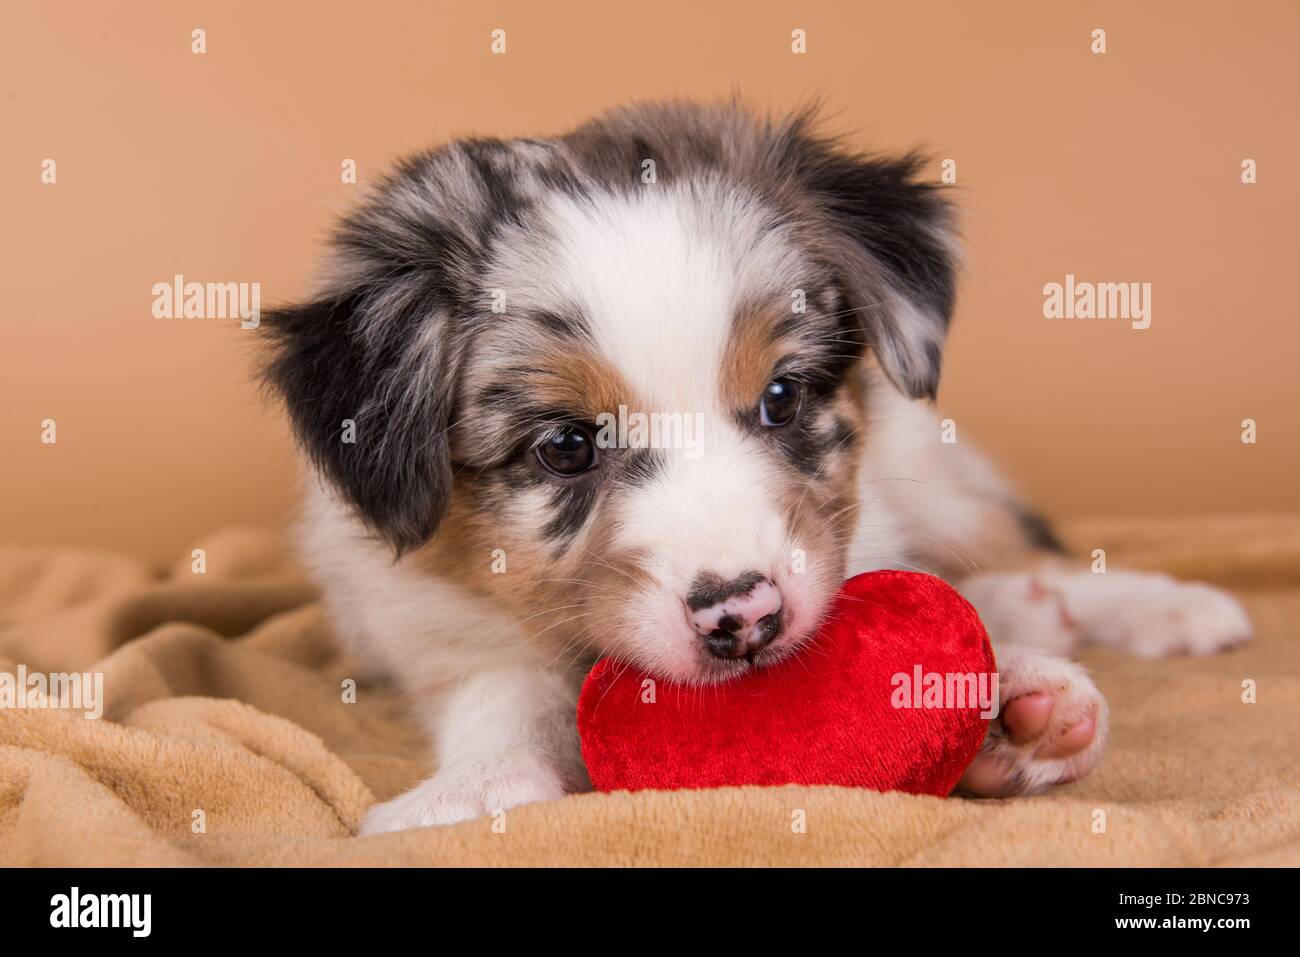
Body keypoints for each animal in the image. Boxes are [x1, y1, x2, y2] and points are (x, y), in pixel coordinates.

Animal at [261, 98, 1248, 832]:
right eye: (568, 446)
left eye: (781, 397)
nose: (744, 615)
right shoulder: (423, 617)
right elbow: (500, 688)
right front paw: (474, 783)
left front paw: (1011, 700)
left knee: (1016, 547)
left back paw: (1153, 608)